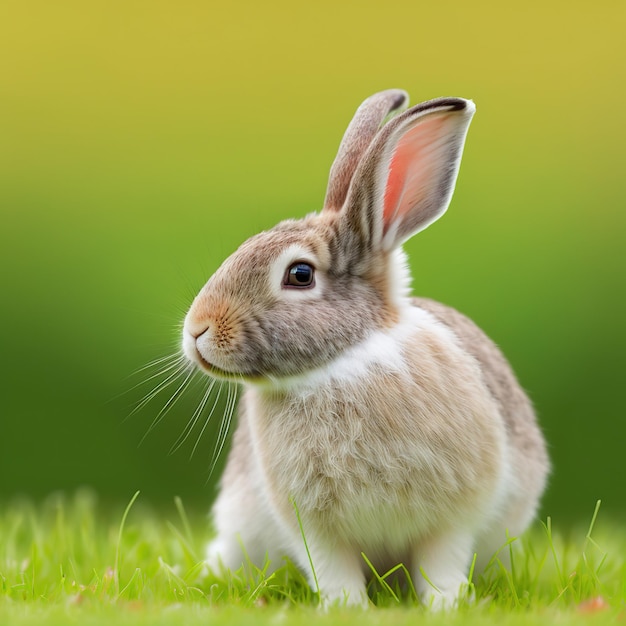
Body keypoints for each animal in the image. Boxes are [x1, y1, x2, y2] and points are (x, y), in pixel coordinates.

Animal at [179, 90, 544, 608]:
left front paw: (444, 605)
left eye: (300, 275)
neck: (344, 363)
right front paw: (346, 608)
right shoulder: (312, 526)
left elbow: (441, 562)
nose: (197, 331)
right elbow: (333, 568)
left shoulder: (453, 518)